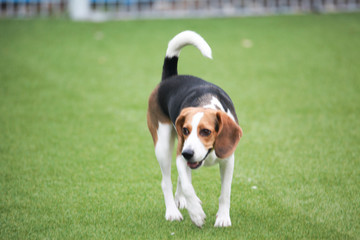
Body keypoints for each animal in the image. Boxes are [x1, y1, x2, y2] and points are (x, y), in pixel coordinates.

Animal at [148, 30, 243, 227]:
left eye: (206, 131)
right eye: (185, 130)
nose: (188, 153)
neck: (205, 103)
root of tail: (170, 78)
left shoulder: (228, 160)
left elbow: (225, 192)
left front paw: (223, 217)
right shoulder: (180, 155)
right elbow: (187, 185)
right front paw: (197, 214)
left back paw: (180, 200)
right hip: (163, 146)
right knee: (166, 182)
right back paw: (173, 211)